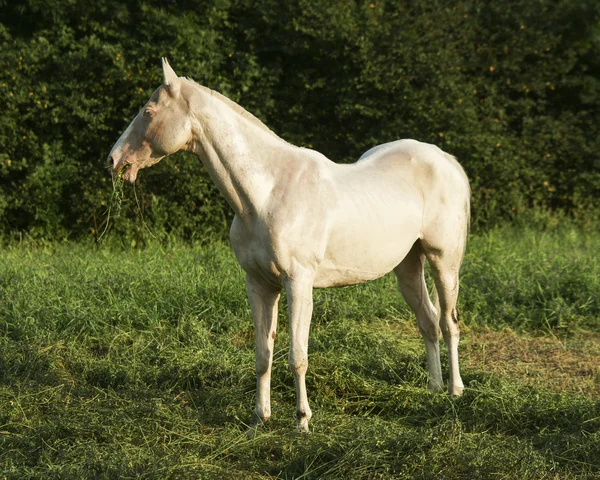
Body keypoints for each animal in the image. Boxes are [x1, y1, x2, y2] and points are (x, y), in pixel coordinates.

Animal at [109, 58, 474, 434]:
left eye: (148, 112)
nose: (113, 160)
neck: (266, 191)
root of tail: (445, 160)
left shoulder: (298, 283)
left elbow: (297, 356)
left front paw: (302, 421)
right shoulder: (259, 285)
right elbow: (263, 355)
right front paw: (260, 418)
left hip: (444, 262)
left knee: (449, 323)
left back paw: (455, 391)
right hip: (408, 266)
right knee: (428, 322)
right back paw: (433, 388)